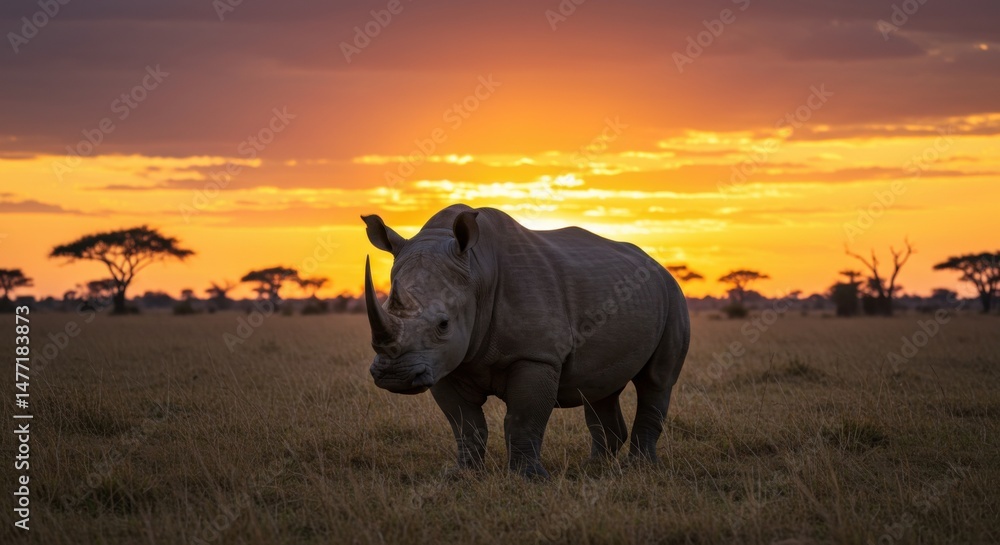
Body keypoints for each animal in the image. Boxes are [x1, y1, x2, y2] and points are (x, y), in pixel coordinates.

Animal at [362, 204, 689, 478]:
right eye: (385, 308)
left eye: (443, 324)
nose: (394, 375)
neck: (477, 271)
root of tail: (656, 264)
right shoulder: (444, 363)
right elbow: (466, 424)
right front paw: (462, 476)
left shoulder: (536, 355)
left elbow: (523, 419)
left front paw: (528, 479)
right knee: (600, 387)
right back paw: (593, 468)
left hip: (673, 294)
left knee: (656, 381)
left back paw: (641, 468)